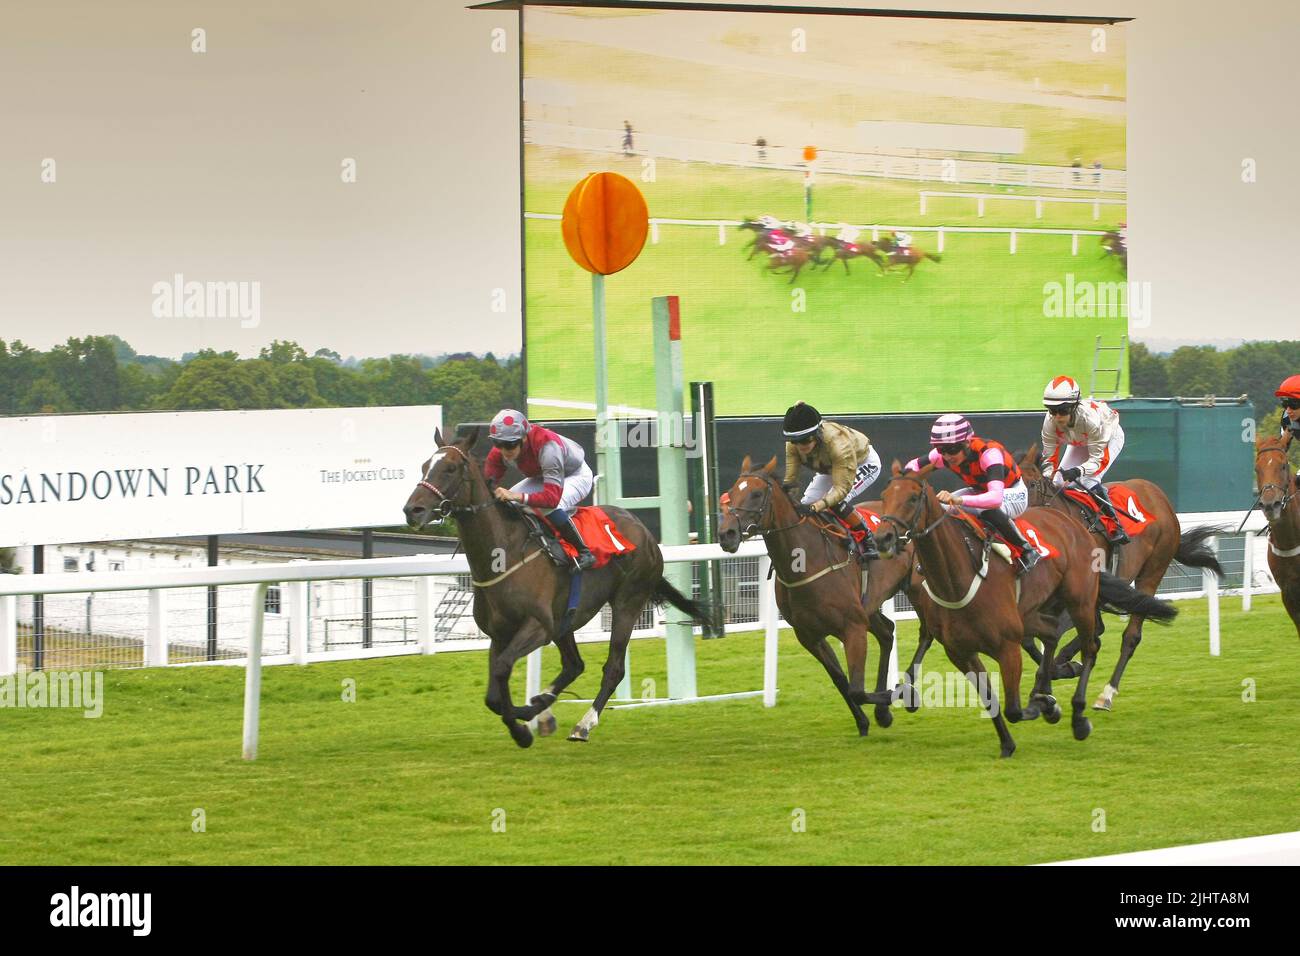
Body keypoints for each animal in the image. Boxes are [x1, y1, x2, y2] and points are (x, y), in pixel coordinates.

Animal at [403, 426, 722, 749]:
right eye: (424, 466)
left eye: (450, 468)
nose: (412, 510)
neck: (503, 553)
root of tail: (644, 532)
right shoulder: (500, 633)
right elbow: (493, 695)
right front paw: (526, 716)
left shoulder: (537, 626)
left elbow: (503, 669)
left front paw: (521, 730)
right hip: (565, 620)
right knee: (574, 665)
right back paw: (541, 705)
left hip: (627, 603)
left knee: (613, 668)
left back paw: (583, 724)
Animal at [717, 460, 899, 738]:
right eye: (730, 492)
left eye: (756, 494)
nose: (726, 533)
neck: (806, 560)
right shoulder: (809, 635)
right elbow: (842, 681)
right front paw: (865, 721)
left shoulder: (853, 626)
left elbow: (857, 688)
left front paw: (900, 695)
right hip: (868, 606)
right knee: (887, 633)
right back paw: (882, 712)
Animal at [873, 460, 1180, 759]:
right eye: (885, 496)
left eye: (913, 498)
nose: (882, 538)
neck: (958, 577)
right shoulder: (960, 652)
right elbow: (991, 698)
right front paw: (1009, 741)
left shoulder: (1007, 647)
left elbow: (1014, 708)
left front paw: (1047, 704)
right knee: (1055, 634)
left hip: (1112, 587)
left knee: (1100, 643)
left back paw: (1088, 707)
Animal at [1019, 444, 1222, 707]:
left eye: (1032, 484)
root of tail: (1160, 497)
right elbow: (1033, 637)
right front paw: (1054, 677)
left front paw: (1059, 673)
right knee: (1097, 630)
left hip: (1152, 571)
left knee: (1130, 635)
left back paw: (1107, 692)